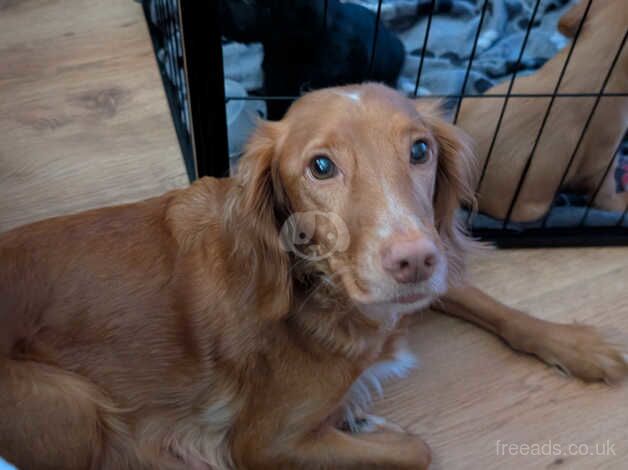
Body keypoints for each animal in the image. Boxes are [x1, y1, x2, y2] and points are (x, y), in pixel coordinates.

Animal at [1, 84, 628, 470]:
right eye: (321, 166)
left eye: (420, 150)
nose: (413, 259)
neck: (326, 289)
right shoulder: (262, 443)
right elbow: (417, 450)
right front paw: (366, 425)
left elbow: (484, 300)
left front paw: (577, 345)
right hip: (71, 402)